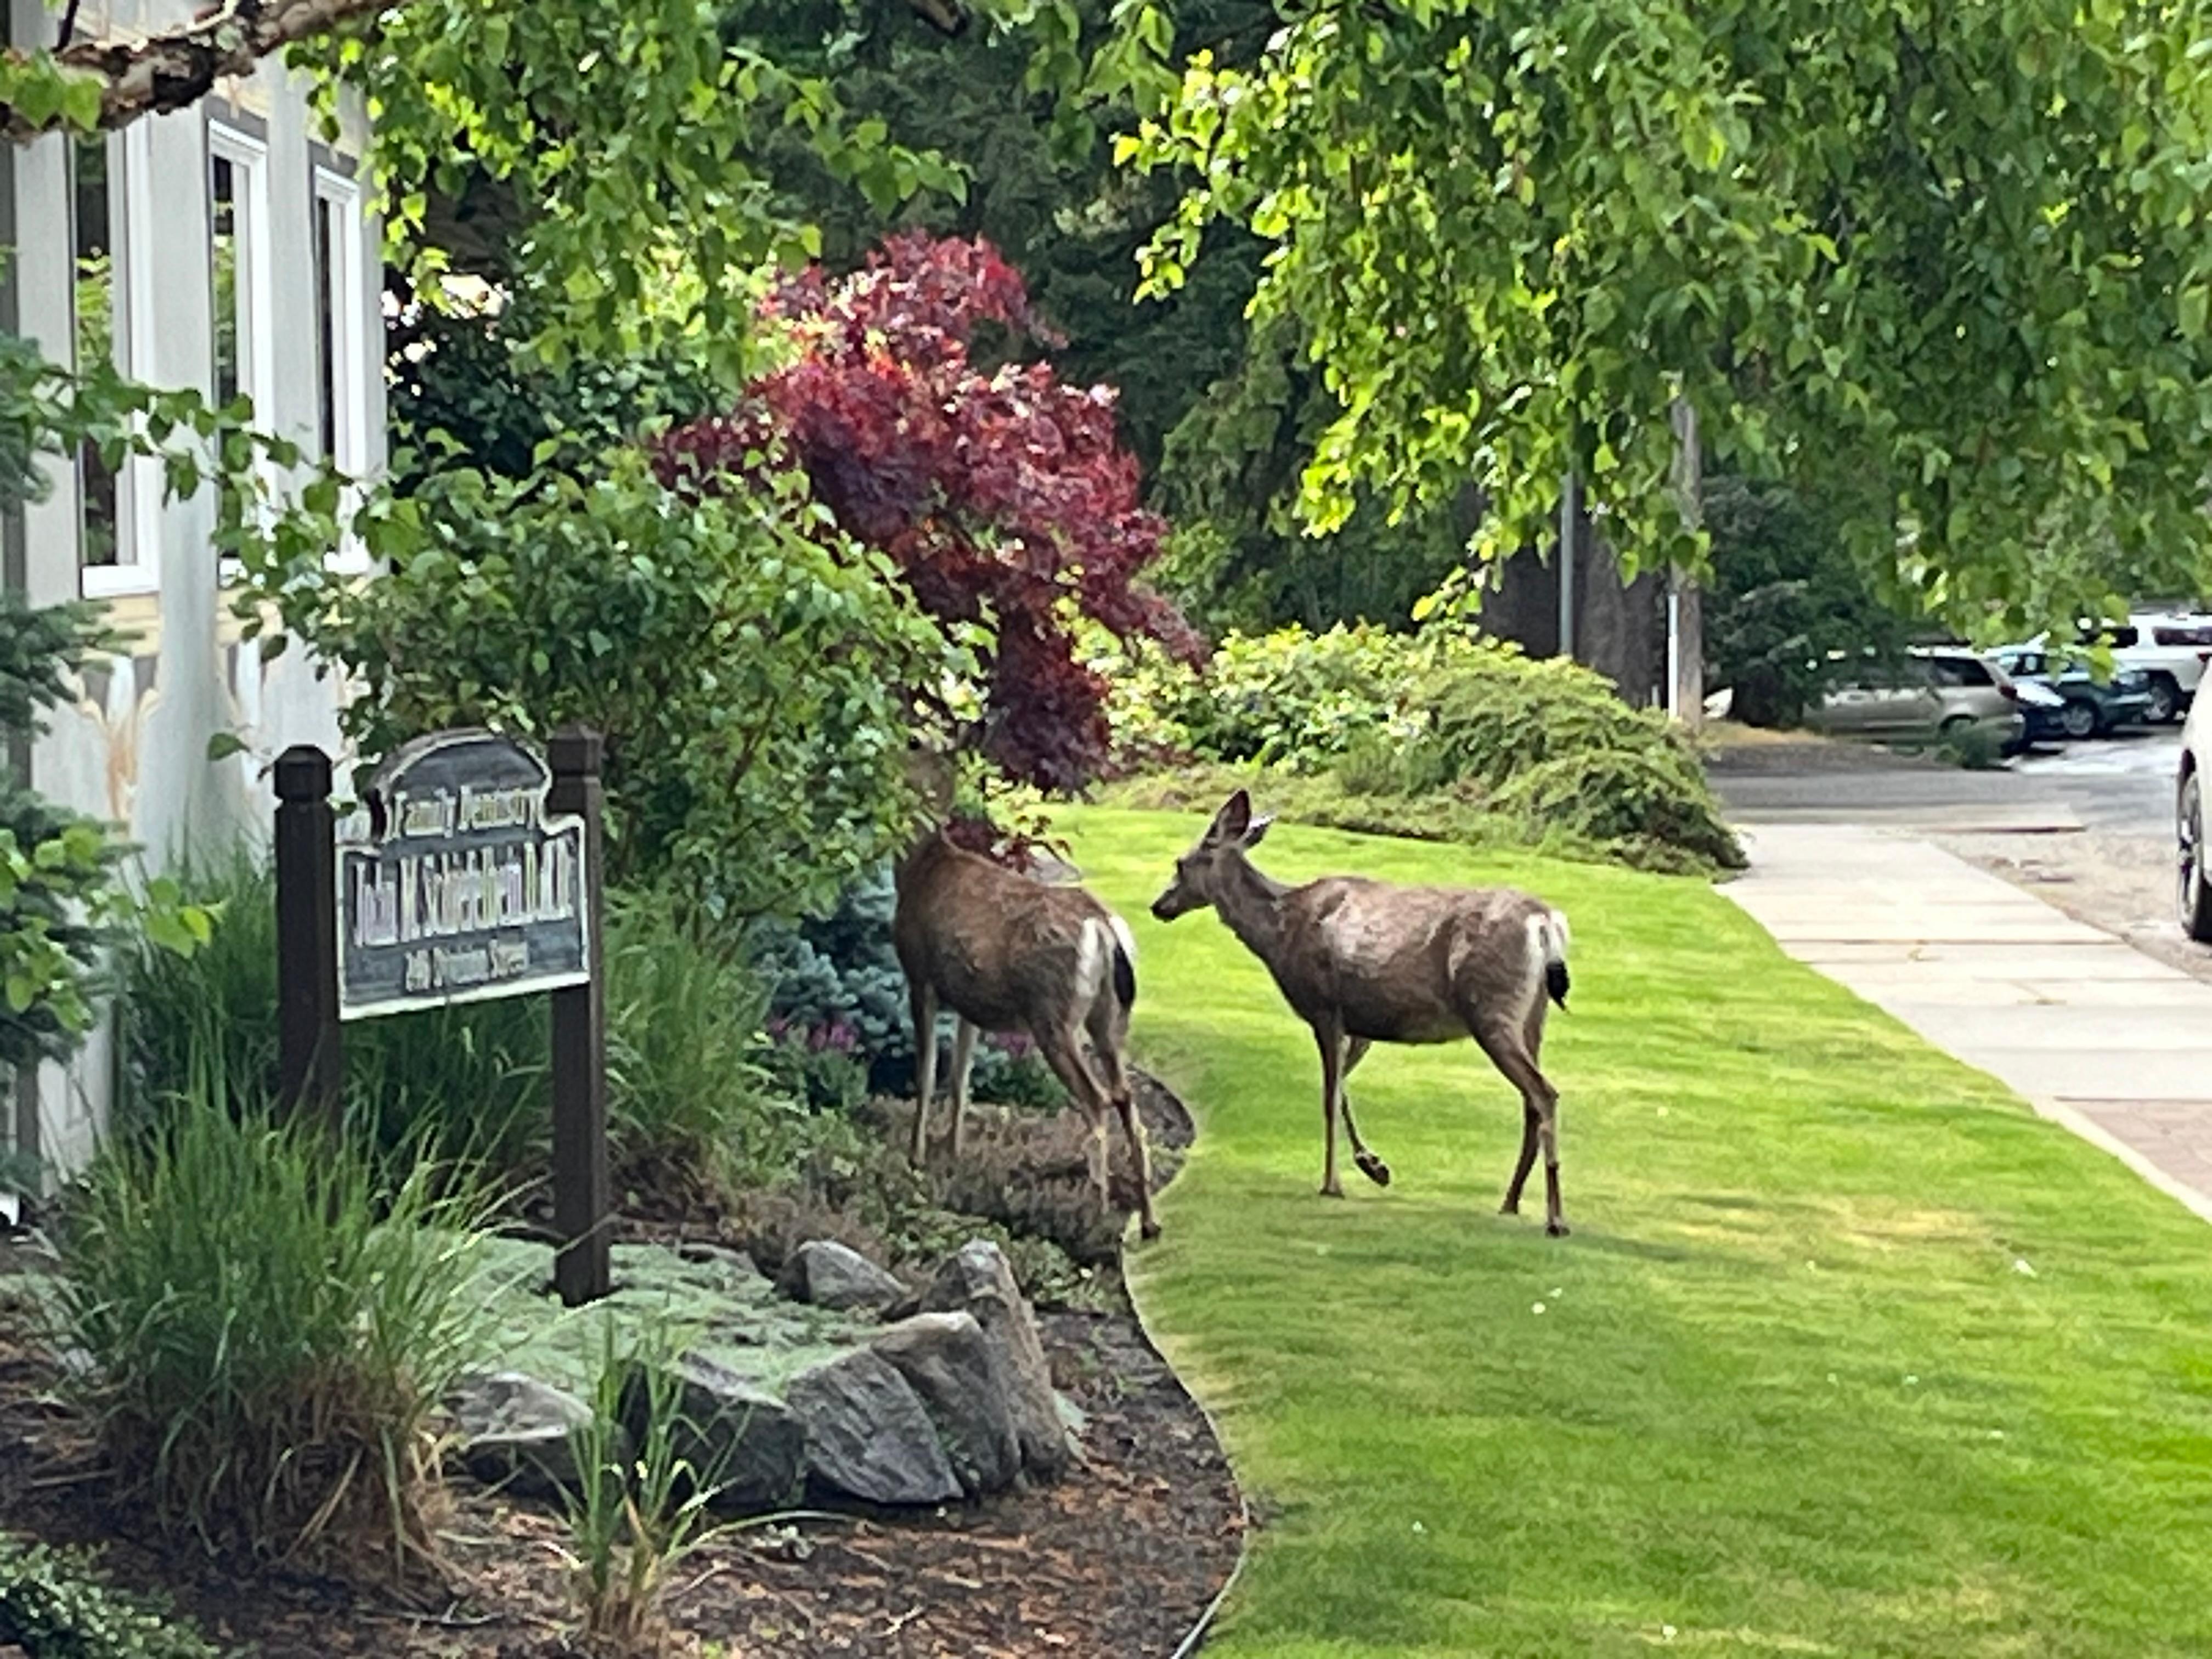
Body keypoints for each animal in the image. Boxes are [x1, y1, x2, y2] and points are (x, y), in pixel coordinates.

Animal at [891, 764, 1160, 1240]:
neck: (918, 867)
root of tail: (1104, 928)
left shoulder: (919, 975)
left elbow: (926, 1074)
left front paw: (917, 1157)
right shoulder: (970, 1002)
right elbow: (960, 1079)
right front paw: (954, 1156)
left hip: (1052, 1012)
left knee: (1097, 1099)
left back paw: (1094, 1209)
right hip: (1109, 1016)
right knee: (1127, 1099)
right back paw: (1147, 1220)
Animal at [1149, 789, 1575, 1235]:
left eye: (1180, 863)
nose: (1158, 905)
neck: (1280, 930)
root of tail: (1546, 922)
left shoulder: (1325, 1007)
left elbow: (1328, 1096)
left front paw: (1332, 1183)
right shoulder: (1362, 1021)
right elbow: (1341, 1090)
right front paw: (1374, 1166)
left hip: (1491, 1007)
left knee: (1544, 1093)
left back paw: (1555, 1218)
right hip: (1533, 1015)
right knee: (1531, 1100)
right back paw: (1510, 1203)